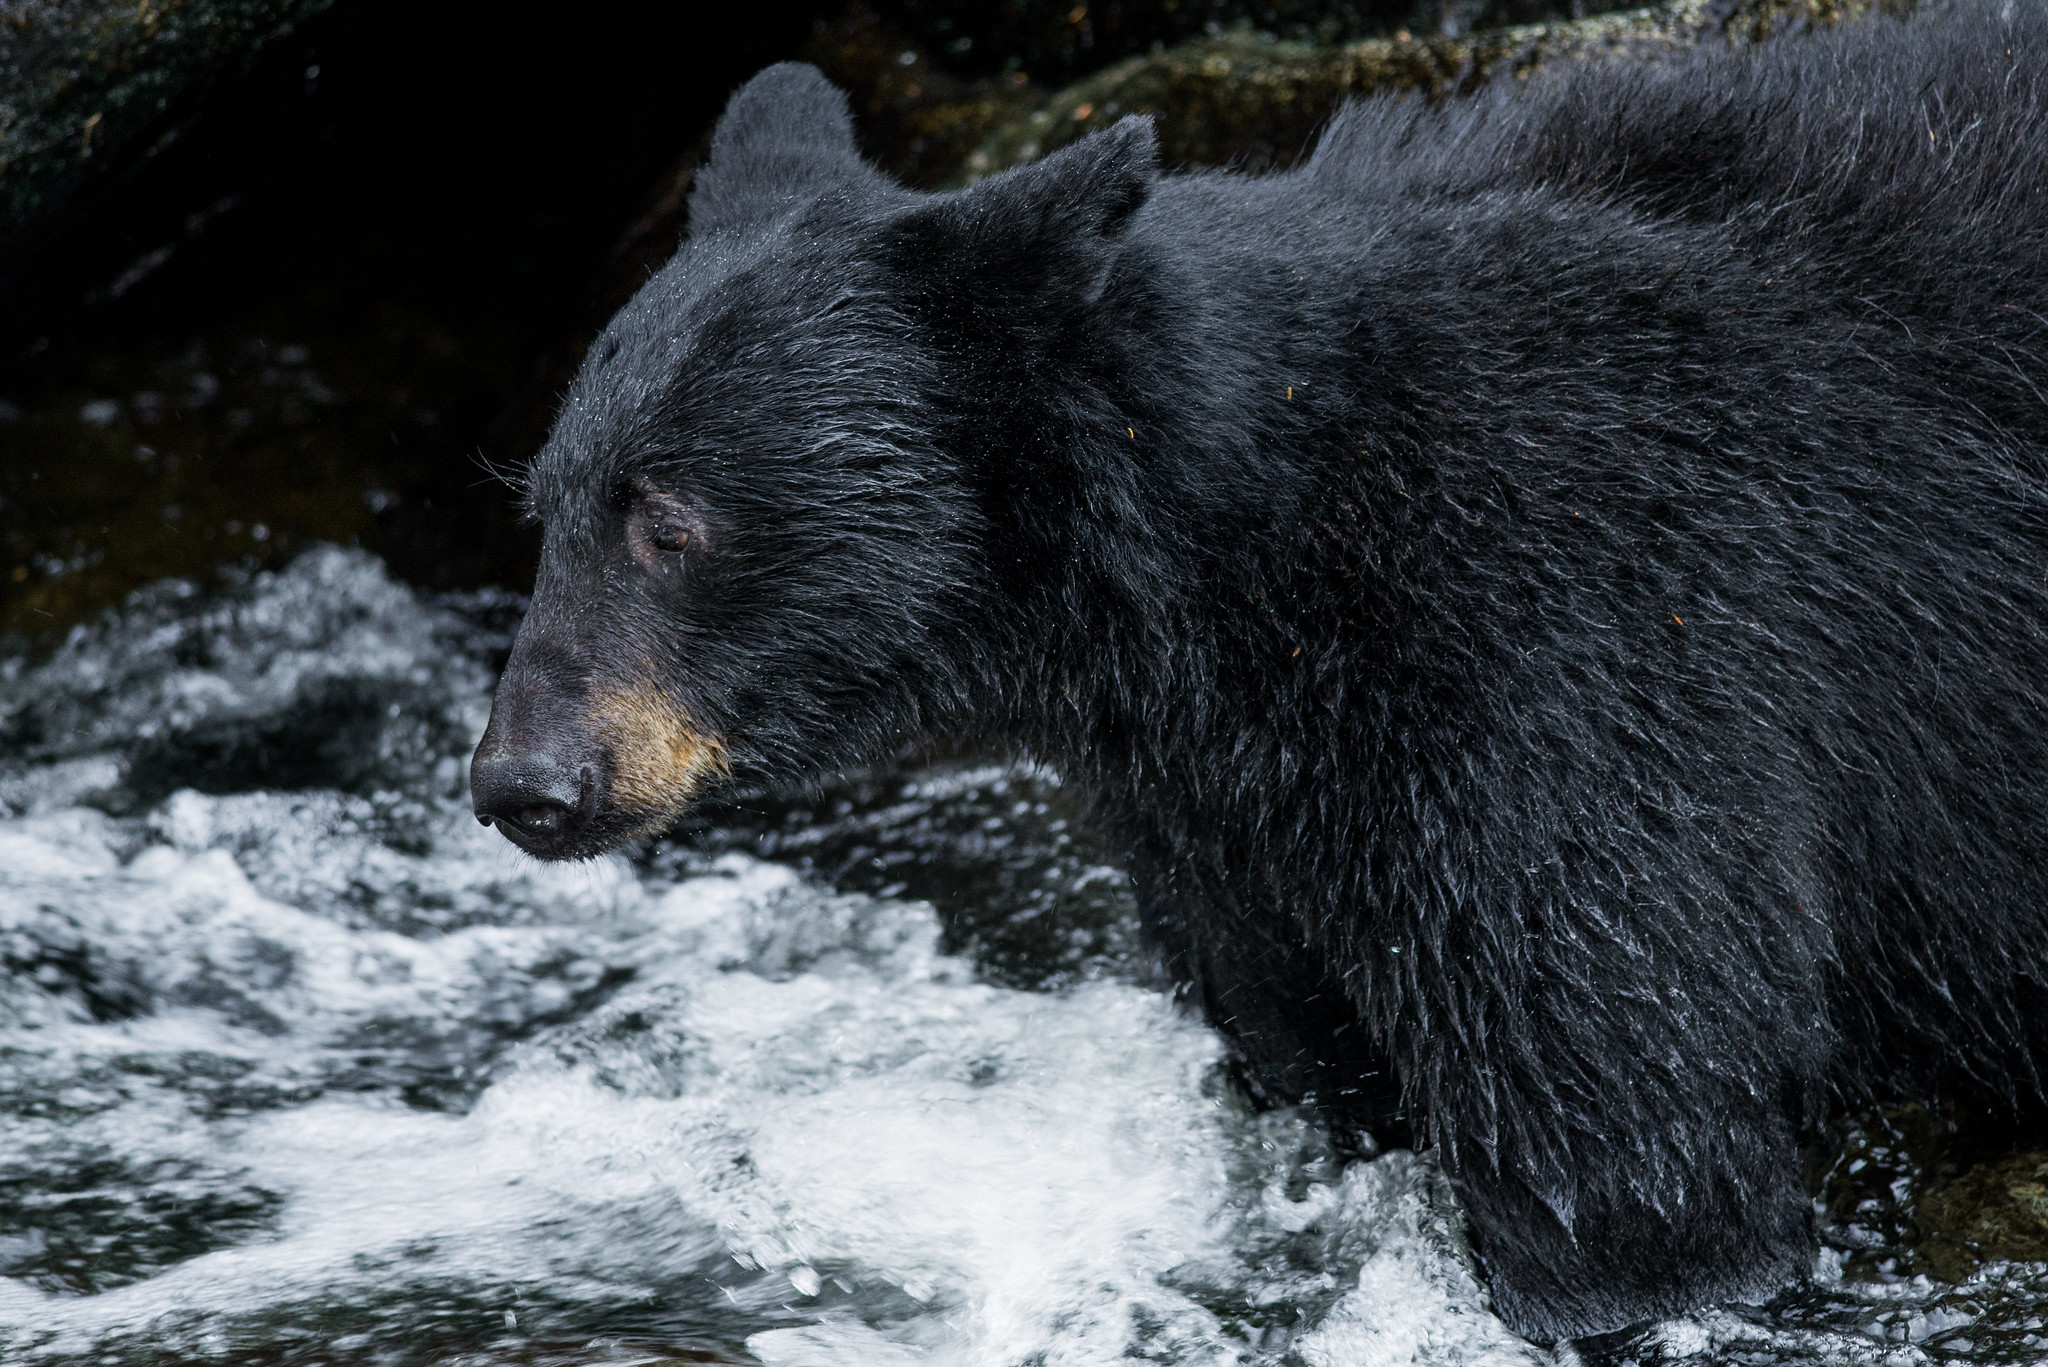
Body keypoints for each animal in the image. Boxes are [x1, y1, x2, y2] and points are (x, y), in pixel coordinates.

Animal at [471, 0, 2048, 1344]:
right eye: (546, 505)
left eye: (670, 522)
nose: (521, 782)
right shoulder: (1230, 822)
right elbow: (1310, 1060)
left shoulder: (1586, 656)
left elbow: (1627, 1128)